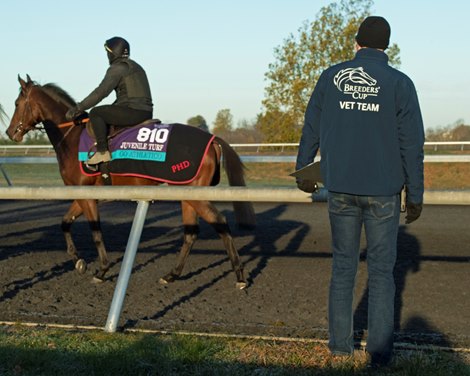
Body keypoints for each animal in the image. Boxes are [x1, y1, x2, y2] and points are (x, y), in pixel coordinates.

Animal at [5, 75, 255, 290]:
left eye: (17, 103)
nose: (9, 132)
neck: (73, 138)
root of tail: (213, 140)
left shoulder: (87, 195)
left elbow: (95, 232)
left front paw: (102, 270)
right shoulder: (82, 194)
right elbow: (65, 223)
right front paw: (78, 261)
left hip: (195, 193)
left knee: (220, 223)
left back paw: (240, 276)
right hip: (186, 194)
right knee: (191, 233)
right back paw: (171, 275)